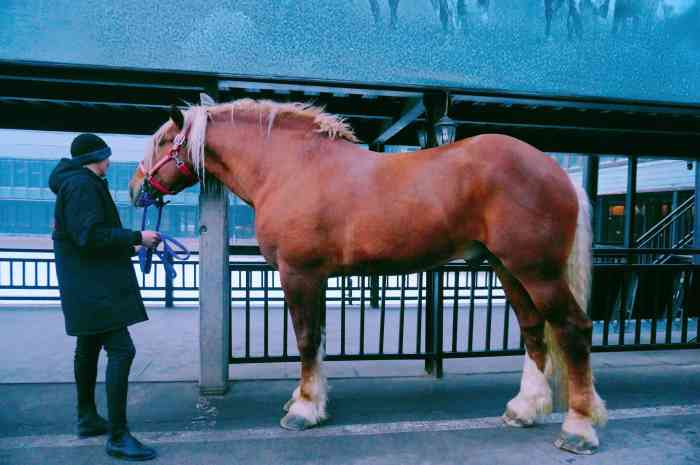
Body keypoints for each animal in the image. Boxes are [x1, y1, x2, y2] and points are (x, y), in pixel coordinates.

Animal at [130, 99, 608, 454]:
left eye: (163, 141)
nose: (136, 189)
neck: (291, 167)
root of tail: (557, 171)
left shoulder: (299, 273)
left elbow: (306, 339)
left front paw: (303, 410)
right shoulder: (316, 277)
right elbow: (319, 339)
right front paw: (311, 400)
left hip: (537, 272)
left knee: (573, 330)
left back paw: (579, 429)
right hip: (508, 269)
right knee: (533, 330)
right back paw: (524, 409)